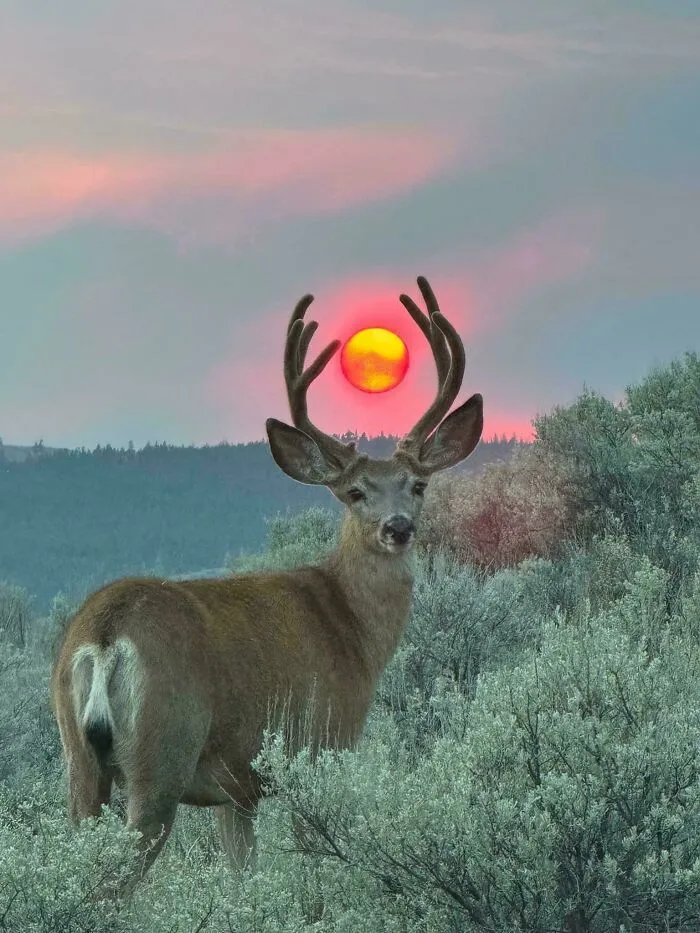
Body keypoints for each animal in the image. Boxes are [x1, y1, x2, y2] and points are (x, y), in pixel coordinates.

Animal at [50, 276, 483, 896]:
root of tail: (104, 637)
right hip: (161, 752)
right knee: (114, 883)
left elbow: (244, 877)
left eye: (418, 484)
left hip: (79, 761)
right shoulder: (321, 743)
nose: (397, 527)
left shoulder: (237, 792)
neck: (350, 628)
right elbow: (315, 877)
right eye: (355, 493)